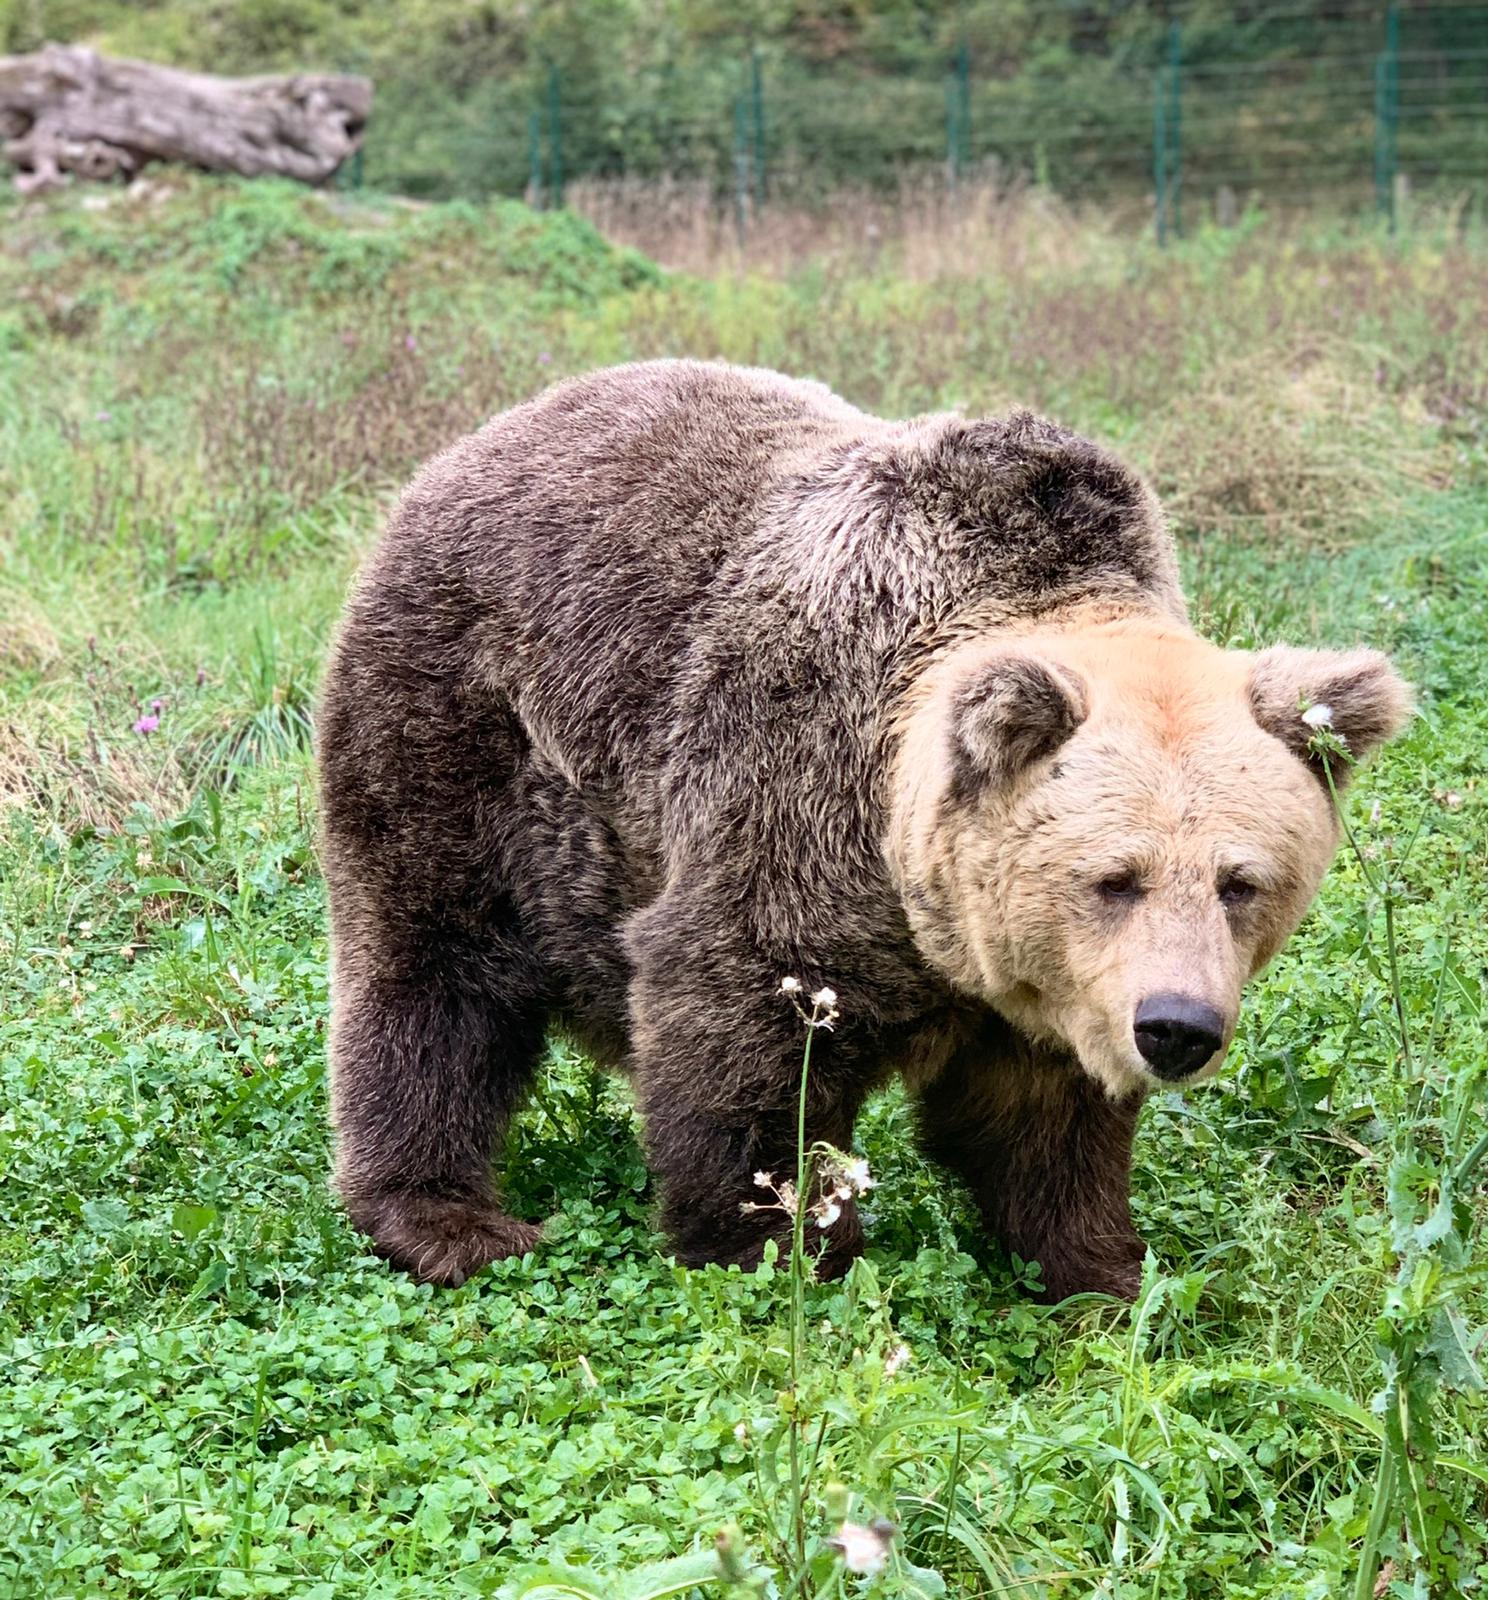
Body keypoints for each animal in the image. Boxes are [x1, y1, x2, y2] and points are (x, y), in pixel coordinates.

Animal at [318, 360, 1408, 1299]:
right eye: (1115, 877)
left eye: (1241, 883)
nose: (1176, 1028)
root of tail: (484, 435)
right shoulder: (794, 793)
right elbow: (744, 1036)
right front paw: (783, 1249)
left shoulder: (1043, 983)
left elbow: (1042, 1124)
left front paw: (1103, 1271)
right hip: (462, 734)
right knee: (437, 977)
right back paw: (450, 1219)